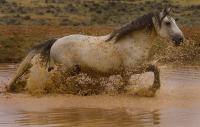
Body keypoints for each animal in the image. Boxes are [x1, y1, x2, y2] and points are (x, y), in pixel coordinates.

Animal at [9, 6, 184, 94]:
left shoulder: (130, 70)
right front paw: (153, 88)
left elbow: (155, 68)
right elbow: (153, 69)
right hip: (66, 69)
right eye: (168, 23)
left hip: (71, 70)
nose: (180, 39)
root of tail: (56, 41)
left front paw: (153, 88)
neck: (132, 42)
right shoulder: (129, 70)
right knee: (53, 80)